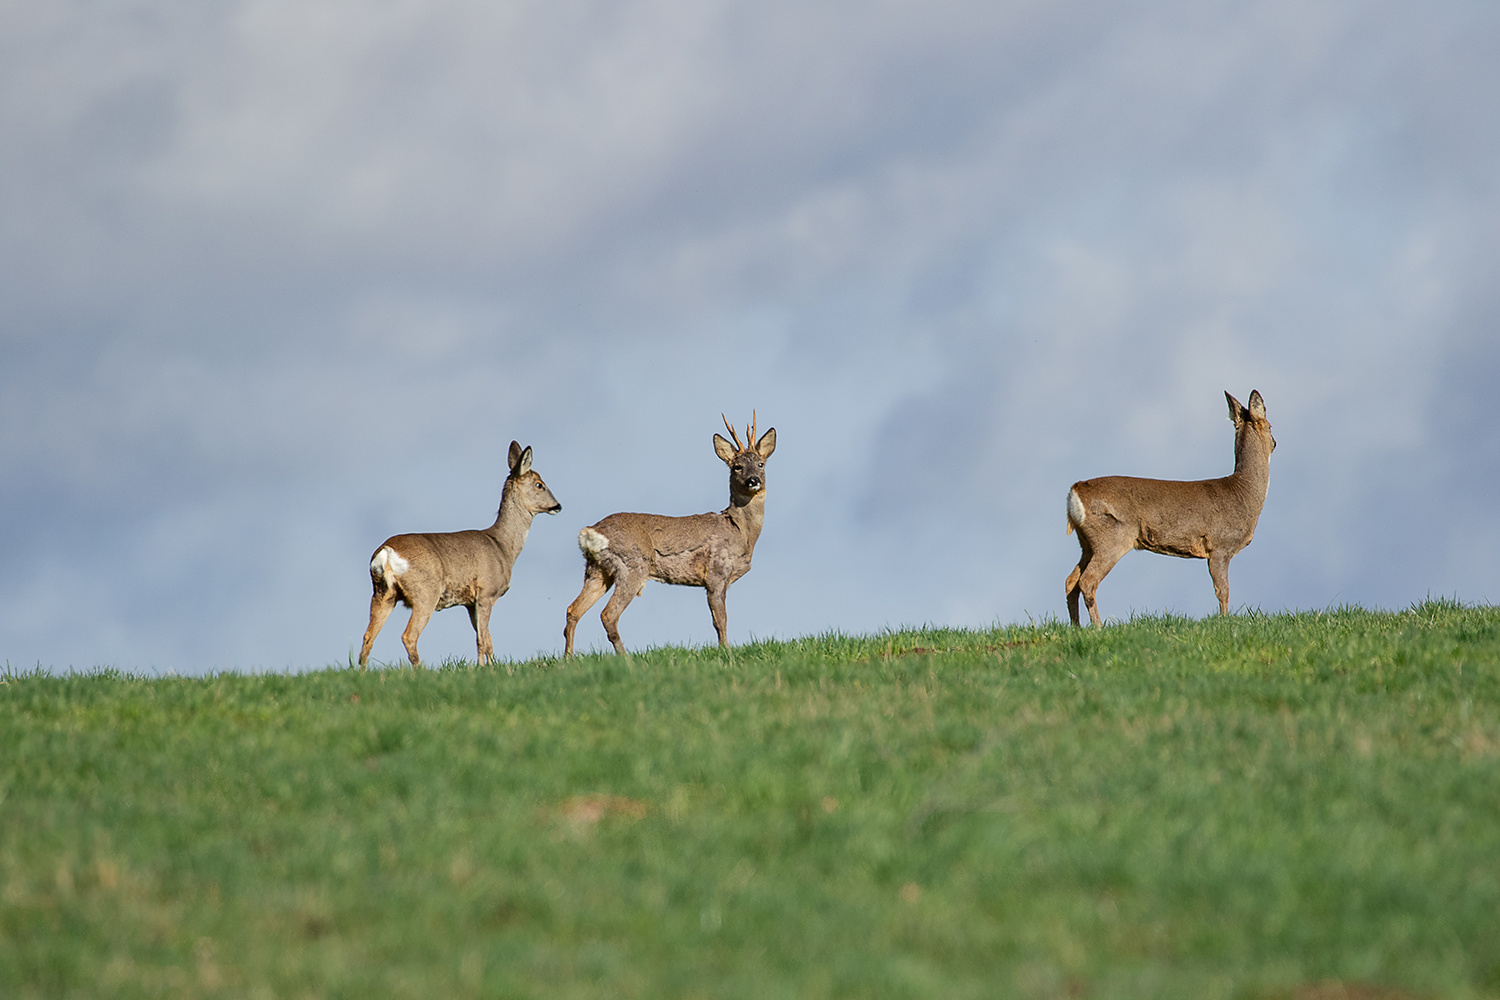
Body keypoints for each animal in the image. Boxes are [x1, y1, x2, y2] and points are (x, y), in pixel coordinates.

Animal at [358, 440, 564, 668]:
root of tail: (386, 551)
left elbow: (488, 640)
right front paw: (483, 669)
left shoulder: (469, 602)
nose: (558, 506)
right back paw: (420, 671)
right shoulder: (486, 592)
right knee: (408, 636)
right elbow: (483, 640)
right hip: (425, 592)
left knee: (368, 636)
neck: (502, 546)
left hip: (383, 592)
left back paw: (362, 672)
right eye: (539, 484)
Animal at [561, 413, 774, 656]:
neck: (741, 532)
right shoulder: (716, 573)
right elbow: (720, 620)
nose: (753, 480)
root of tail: (591, 532)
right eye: (737, 467)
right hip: (632, 565)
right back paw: (625, 659)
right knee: (608, 615)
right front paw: (725, 651)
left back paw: (569, 658)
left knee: (572, 610)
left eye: (761, 464)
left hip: (597, 571)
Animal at [1068, 389, 1278, 626]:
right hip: (1111, 537)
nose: (1275, 442)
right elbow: (1222, 590)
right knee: (1087, 581)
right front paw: (1224, 621)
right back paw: (1097, 627)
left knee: (1071, 581)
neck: (1243, 493)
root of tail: (1075, 490)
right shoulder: (1219, 545)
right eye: (1270, 426)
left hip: (1086, 542)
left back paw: (1076, 627)